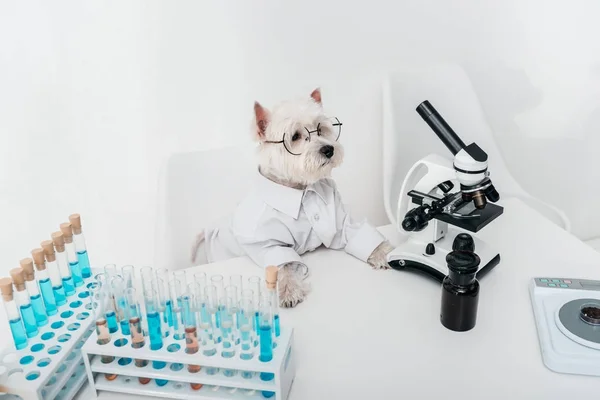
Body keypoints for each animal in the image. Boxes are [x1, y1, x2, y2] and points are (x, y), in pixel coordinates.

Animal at [190, 88, 392, 306]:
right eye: (295, 136)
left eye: (320, 129)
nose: (329, 149)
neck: (299, 190)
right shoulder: (269, 244)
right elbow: (284, 265)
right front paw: (289, 290)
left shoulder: (341, 221)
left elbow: (361, 235)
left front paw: (387, 254)